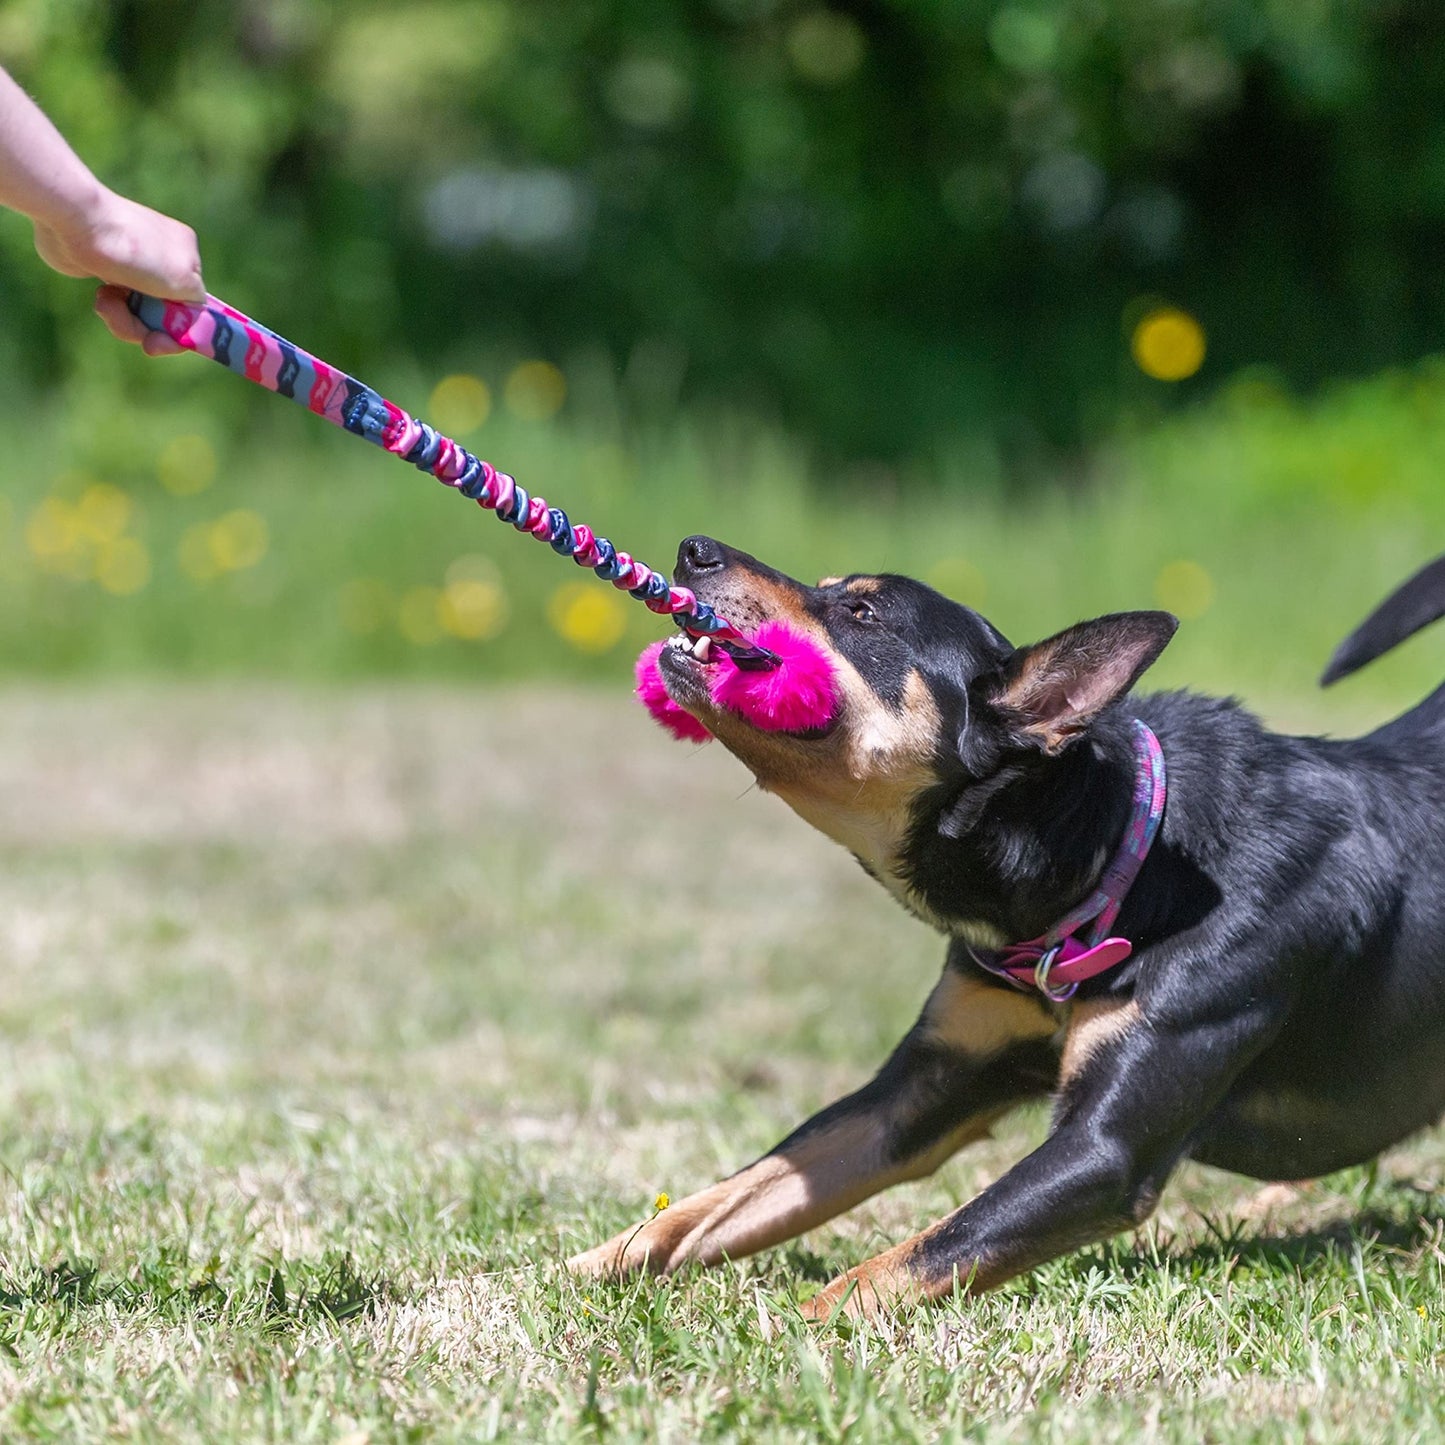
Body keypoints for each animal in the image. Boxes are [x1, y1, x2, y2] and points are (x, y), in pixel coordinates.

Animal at [566, 537, 1445, 1317]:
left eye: (860, 611)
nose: (693, 548)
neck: (1113, 863)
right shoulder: (917, 1092)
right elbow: (726, 1199)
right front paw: (577, 1269)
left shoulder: (1101, 1150)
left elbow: (916, 1255)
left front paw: (794, 1334)